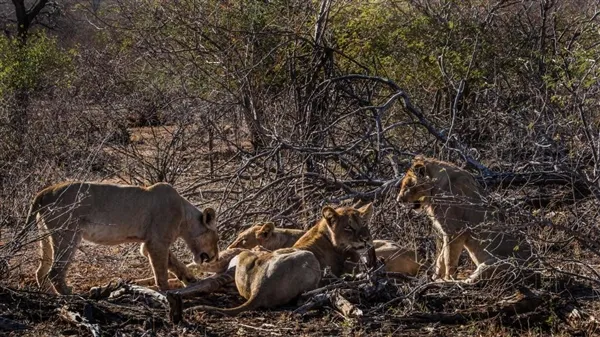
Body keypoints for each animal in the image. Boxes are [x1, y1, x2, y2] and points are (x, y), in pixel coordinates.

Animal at [27, 180, 220, 292]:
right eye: (216, 239)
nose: (215, 258)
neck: (184, 217)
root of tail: (43, 192)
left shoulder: (149, 243)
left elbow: (173, 262)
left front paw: (190, 279)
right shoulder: (157, 242)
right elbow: (161, 270)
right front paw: (166, 291)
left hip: (46, 237)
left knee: (40, 270)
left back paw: (47, 295)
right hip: (68, 234)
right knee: (54, 272)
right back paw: (69, 294)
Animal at [188, 202, 376, 316]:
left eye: (365, 224)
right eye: (349, 228)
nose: (366, 239)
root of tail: (259, 288)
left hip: (246, 254)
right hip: (309, 257)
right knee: (302, 297)